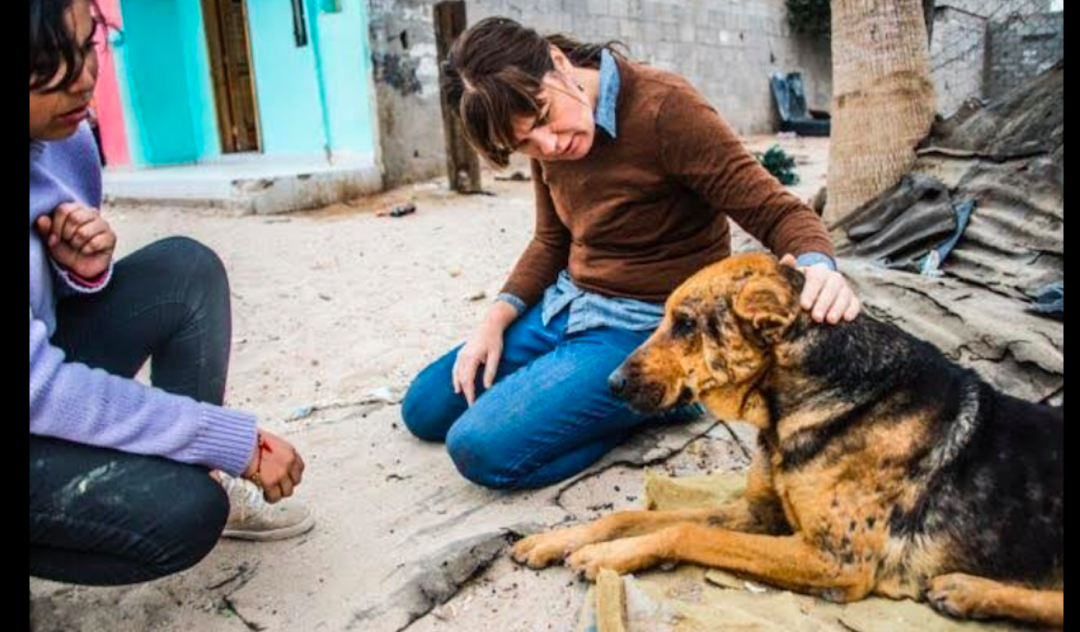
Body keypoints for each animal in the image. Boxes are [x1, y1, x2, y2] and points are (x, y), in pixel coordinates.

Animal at [514, 251, 1062, 626]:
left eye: (685, 323)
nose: (611, 384)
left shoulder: (835, 560)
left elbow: (687, 532)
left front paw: (605, 556)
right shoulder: (762, 513)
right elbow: (633, 516)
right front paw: (556, 539)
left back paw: (970, 590)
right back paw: (967, 591)